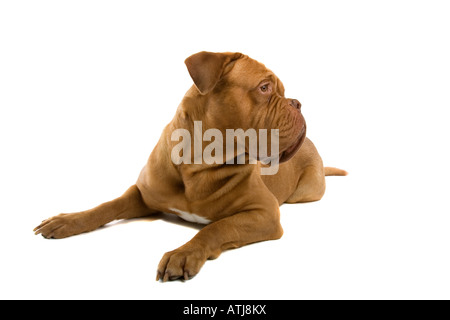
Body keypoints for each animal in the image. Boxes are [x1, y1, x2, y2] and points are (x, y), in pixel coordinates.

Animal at [33, 51, 346, 282]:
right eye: (265, 88)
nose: (297, 103)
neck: (199, 164)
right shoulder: (142, 194)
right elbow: (106, 206)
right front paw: (68, 220)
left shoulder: (265, 212)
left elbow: (217, 227)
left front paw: (184, 253)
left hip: (305, 192)